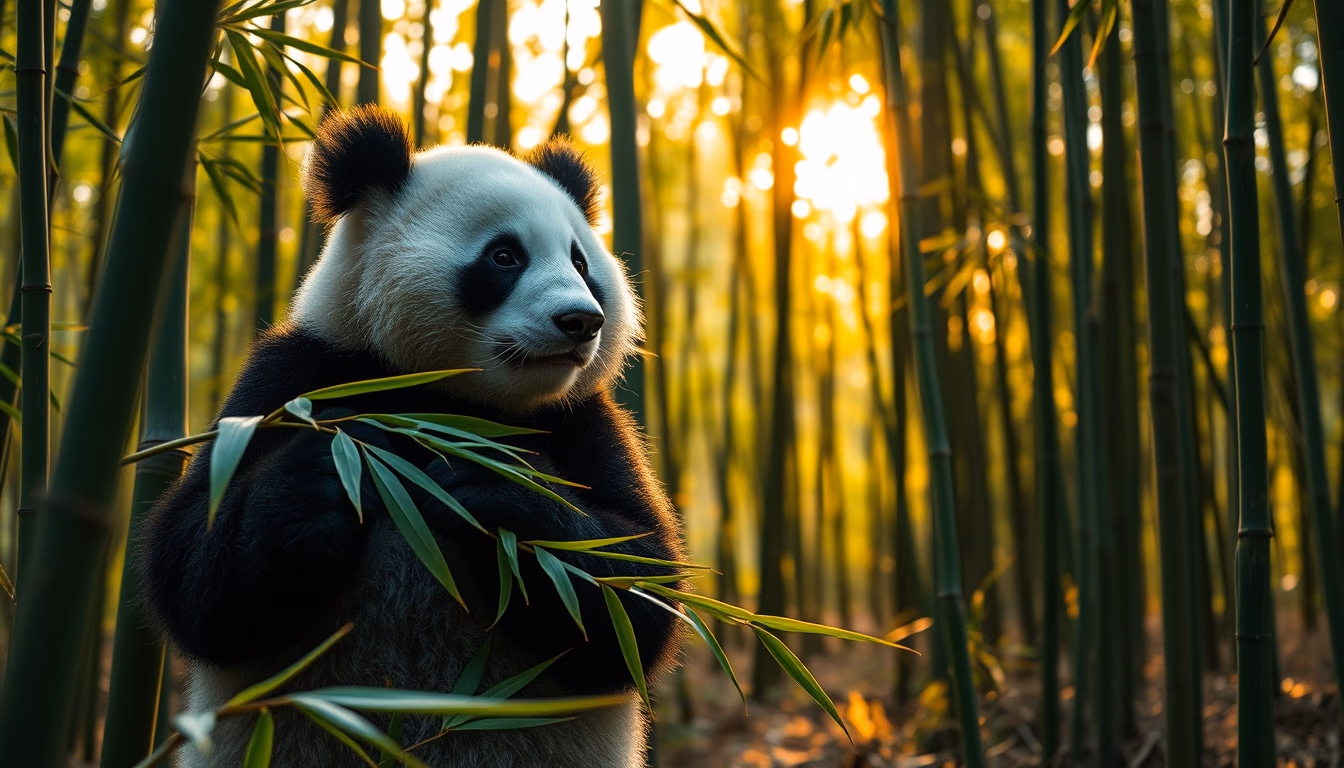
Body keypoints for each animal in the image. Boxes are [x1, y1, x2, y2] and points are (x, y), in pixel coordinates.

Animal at [140, 105, 685, 767]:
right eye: (505, 256)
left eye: (581, 262)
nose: (581, 321)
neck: (449, 395)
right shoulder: (300, 375)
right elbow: (194, 569)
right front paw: (330, 473)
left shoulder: (582, 416)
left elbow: (636, 587)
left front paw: (491, 482)